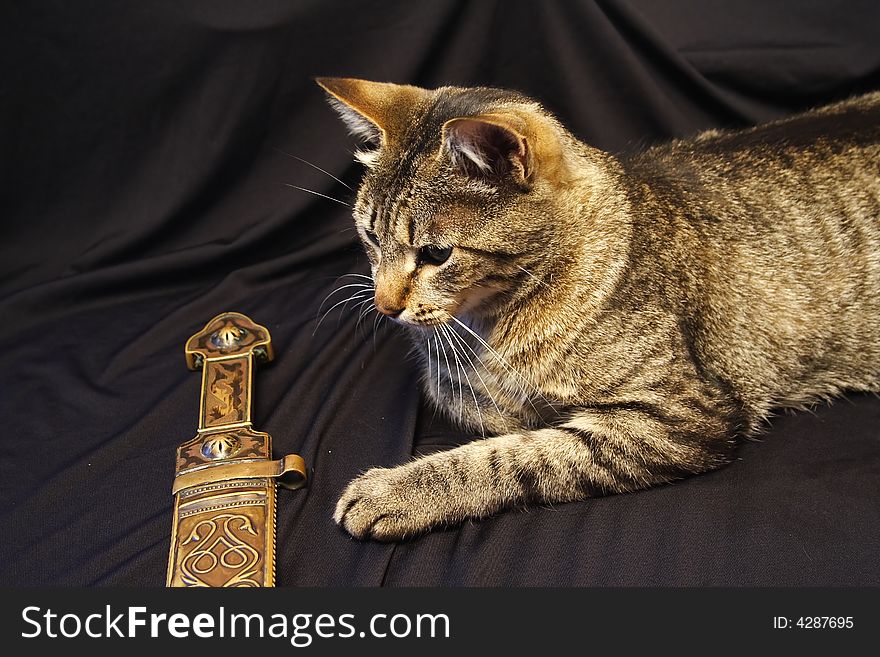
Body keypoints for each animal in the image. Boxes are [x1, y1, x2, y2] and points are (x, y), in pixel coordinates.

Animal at [316, 78, 880, 540]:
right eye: (370, 238)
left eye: (436, 254)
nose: (385, 307)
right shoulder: (450, 381)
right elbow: (482, 407)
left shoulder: (685, 416)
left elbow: (520, 454)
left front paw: (401, 491)